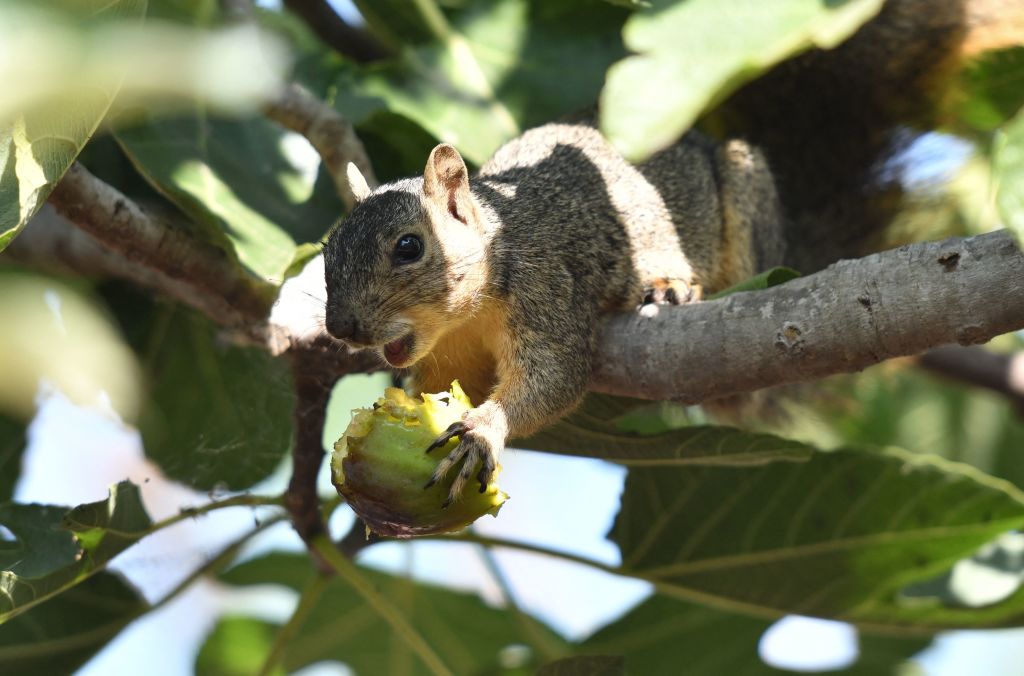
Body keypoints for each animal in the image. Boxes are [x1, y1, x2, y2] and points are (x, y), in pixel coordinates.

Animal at [323, 0, 1018, 507]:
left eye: (409, 247)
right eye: (325, 251)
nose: (342, 328)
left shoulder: (551, 288)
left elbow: (555, 376)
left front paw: (487, 429)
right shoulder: (447, 356)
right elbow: (442, 389)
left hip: (746, 210)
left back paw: (671, 287)